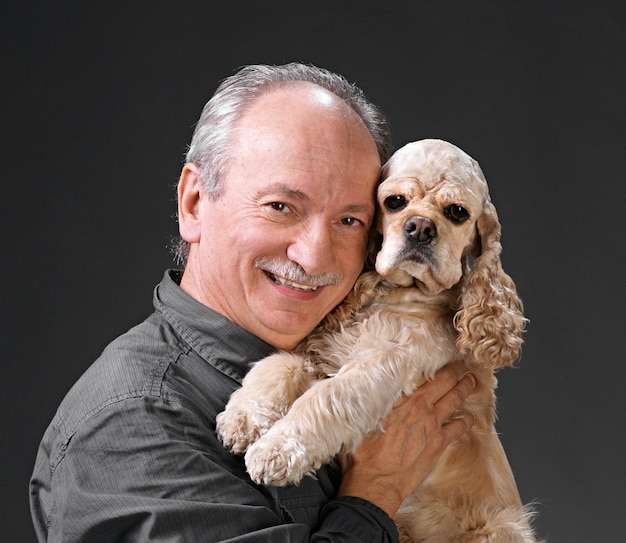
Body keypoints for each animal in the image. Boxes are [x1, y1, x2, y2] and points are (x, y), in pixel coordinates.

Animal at [216, 139, 536, 540]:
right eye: (395, 202)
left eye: (457, 212)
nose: (420, 228)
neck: (396, 294)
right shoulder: (322, 353)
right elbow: (278, 364)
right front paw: (243, 417)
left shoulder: (384, 366)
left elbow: (324, 397)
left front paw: (274, 450)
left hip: (502, 528)